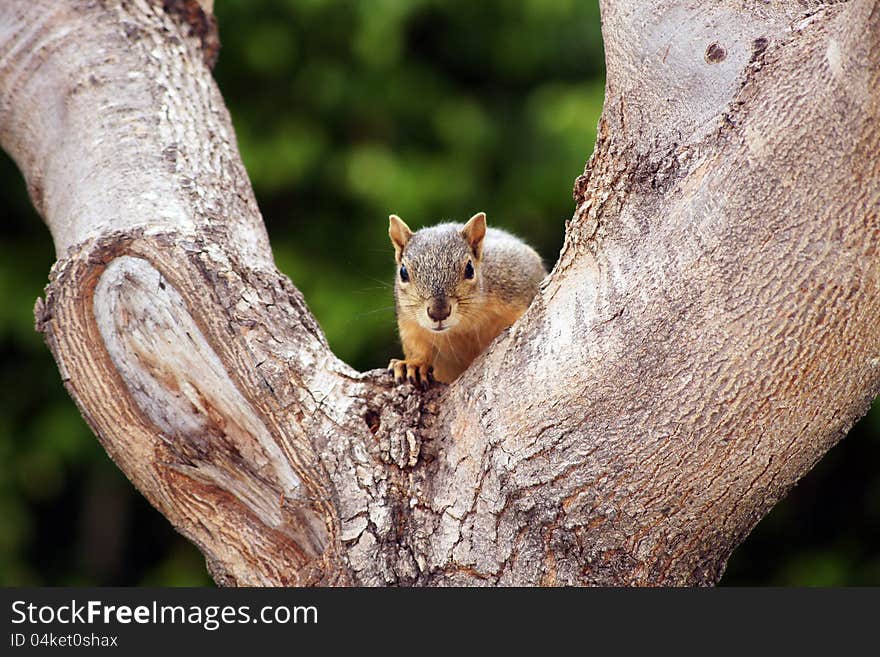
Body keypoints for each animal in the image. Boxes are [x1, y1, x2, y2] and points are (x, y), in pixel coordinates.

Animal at [384, 210, 544, 386]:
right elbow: (417, 348)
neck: (461, 326)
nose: (438, 313)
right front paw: (413, 365)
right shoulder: (410, 326)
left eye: (469, 269)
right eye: (403, 272)